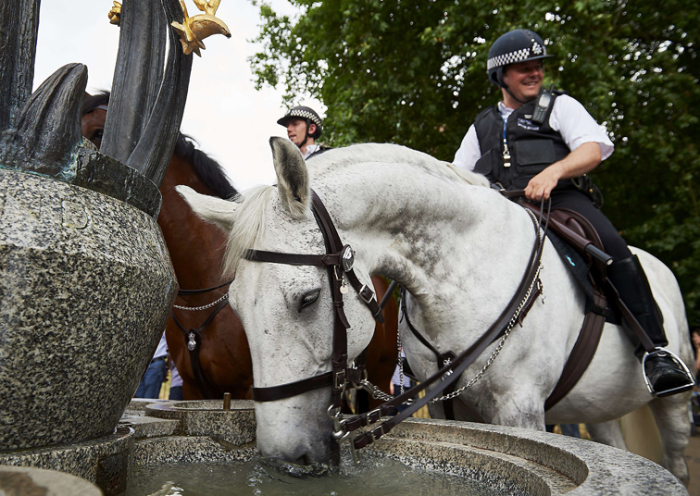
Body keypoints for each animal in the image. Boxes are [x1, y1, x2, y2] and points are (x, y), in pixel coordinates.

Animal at [178, 138, 692, 482]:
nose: (287, 456)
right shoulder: (450, 410)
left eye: (307, 299)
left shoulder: (521, 410)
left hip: (675, 401)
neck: (469, 271)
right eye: (236, 309)